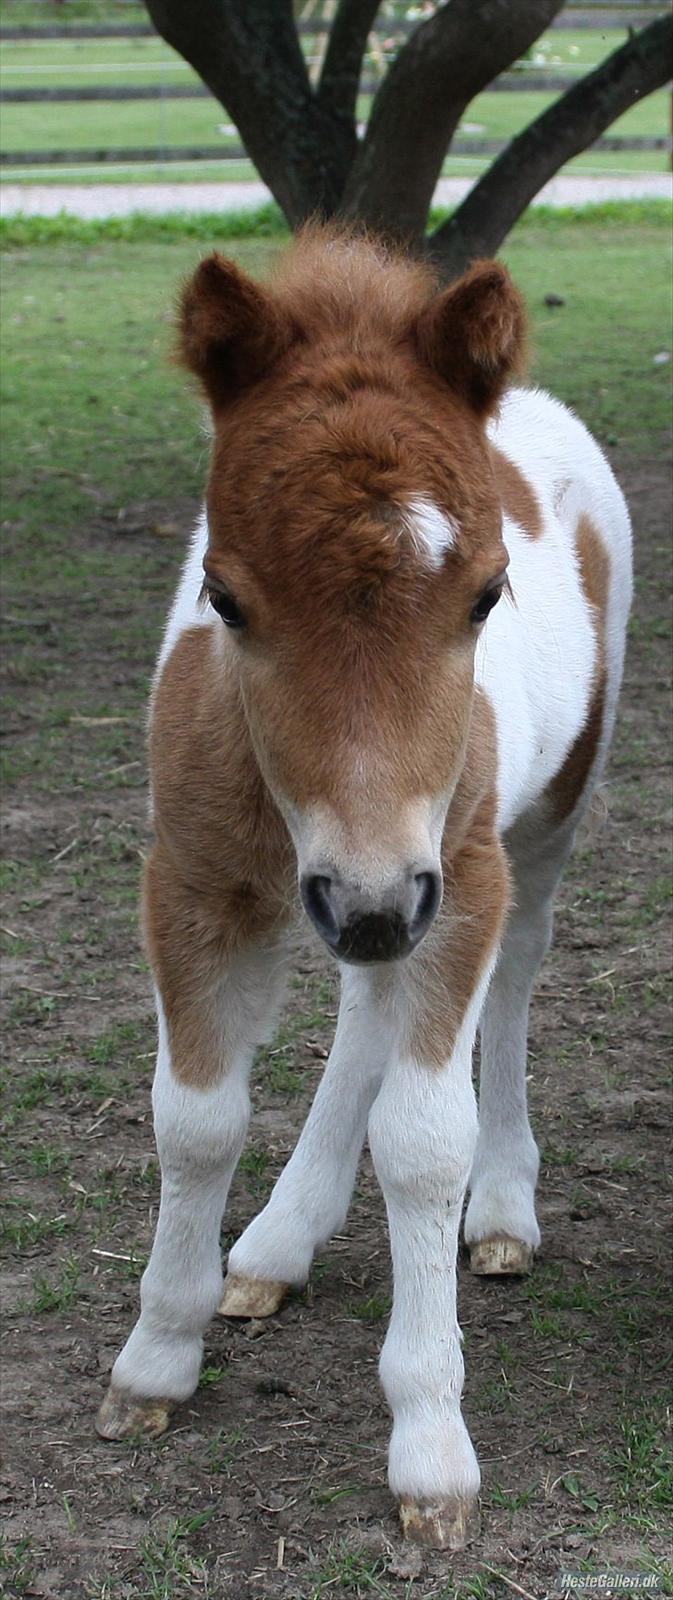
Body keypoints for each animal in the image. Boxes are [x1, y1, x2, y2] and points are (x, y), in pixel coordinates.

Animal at [97, 228, 633, 1548]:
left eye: (486, 593)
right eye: (225, 598)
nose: (377, 895)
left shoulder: (455, 874)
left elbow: (425, 1138)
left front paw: (431, 1446)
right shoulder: (196, 886)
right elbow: (195, 1118)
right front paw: (156, 1357)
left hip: (529, 830)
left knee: (511, 978)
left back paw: (503, 1211)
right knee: (364, 1004)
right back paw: (277, 1240)